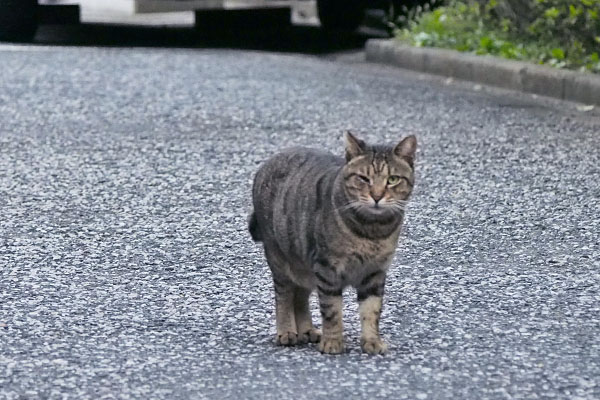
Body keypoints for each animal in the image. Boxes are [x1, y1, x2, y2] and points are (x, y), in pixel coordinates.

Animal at [248, 131, 418, 354]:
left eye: (392, 179)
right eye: (363, 178)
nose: (377, 196)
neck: (372, 230)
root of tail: (266, 162)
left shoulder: (374, 272)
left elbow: (372, 311)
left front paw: (372, 341)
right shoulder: (327, 268)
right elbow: (332, 310)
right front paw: (333, 342)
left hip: (304, 266)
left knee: (300, 297)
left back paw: (307, 330)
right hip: (280, 259)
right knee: (284, 296)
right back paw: (286, 332)